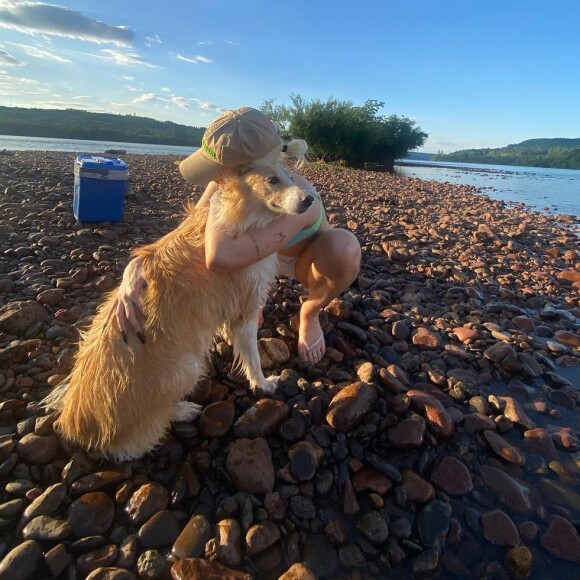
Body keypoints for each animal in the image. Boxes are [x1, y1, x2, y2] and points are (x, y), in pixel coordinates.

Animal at [43, 165, 314, 460]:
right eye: (272, 180)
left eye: (290, 177)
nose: (310, 199)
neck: (241, 214)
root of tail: (75, 425)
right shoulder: (247, 309)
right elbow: (252, 358)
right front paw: (263, 385)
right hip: (188, 367)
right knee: (143, 434)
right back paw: (183, 410)